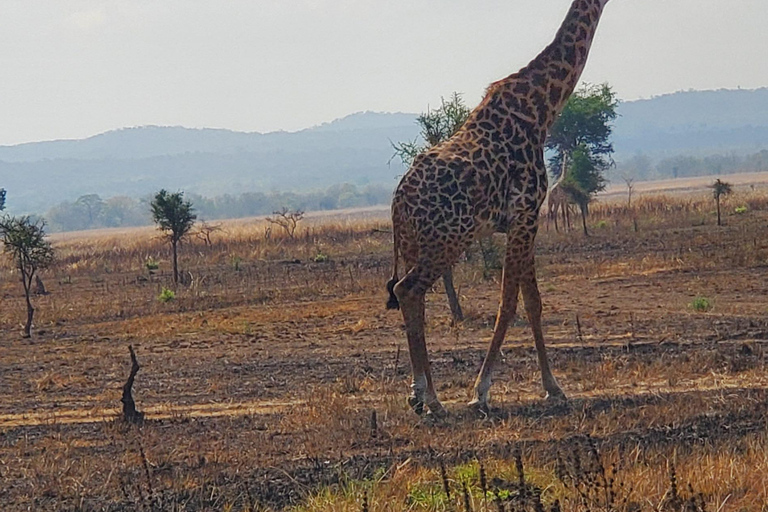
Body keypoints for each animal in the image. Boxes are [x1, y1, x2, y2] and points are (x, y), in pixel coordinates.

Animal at [388, 0, 608, 416]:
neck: (542, 107)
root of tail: (398, 202)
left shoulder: (522, 221)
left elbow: (531, 301)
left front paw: (551, 386)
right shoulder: (526, 214)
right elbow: (511, 302)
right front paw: (483, 391)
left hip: (413, 244)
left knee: (413, 299)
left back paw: (420, 393)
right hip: (448, 240)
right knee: (408, 290)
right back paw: (431, 398)